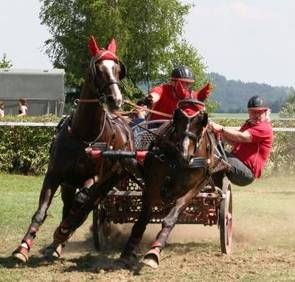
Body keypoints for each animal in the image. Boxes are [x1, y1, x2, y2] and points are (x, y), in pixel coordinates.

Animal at [12, 36, 135, 264]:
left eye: (116, 68)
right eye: (98, 69)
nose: (116, 99)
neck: (83, 137)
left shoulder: (95, 178)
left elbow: (80, 206)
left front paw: (62, 233)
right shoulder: (54, 175)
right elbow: (41, 211)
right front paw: (23, 247)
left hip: (108, 183)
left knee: (83, 207)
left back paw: (63, 235)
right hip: (69, 184)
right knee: (70, 206)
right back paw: (57, 243)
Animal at [120, 99, 227, 268]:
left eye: (201, 122)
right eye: (178, 120)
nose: (185, 155)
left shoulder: (196, 186)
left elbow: (172, 217)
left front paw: (154, 251)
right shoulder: (152, 183)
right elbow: (142, 219)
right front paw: (129, 249)